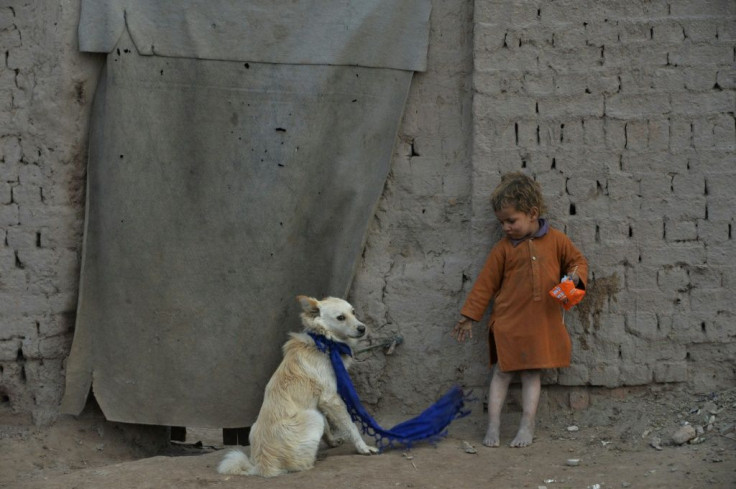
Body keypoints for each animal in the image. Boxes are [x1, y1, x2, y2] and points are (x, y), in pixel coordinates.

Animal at [217, 296, 380, 474]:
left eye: (353, 312)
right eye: (341, 317)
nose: (362, 328)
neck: (324, 342)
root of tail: (261, 466)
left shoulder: (319, 402)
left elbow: (328, 426)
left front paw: (332, 442)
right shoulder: (330, 398)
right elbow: (351, 425)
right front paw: (363, 448)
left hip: (257, 426)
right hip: (313, 416)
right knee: (302, 465)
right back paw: (313, 459)